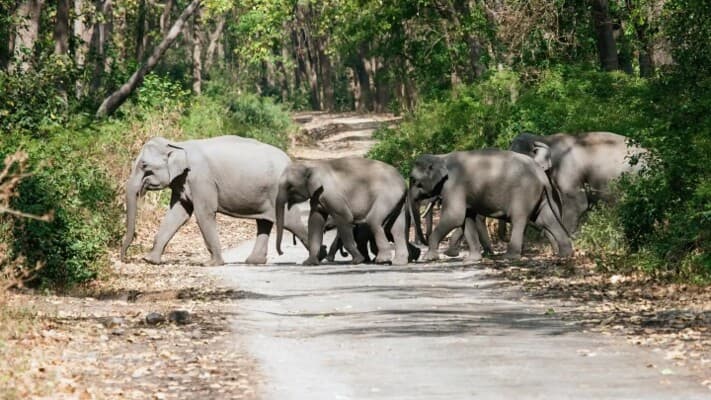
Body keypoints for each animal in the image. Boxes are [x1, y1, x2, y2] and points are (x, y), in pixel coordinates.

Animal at [120, 135, 311, 266]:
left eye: (144, 166)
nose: (124, 258)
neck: (179, 145)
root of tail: (289, 160)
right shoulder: (182, 182)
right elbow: (178, 214)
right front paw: (150, 260)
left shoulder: (201, 179)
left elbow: (204, 213)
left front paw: (212, 264)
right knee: (264, 222)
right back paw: (253, 262)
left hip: (278, 191)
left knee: (291, 222)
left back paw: (314, 259)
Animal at [275, 157, 411, 266]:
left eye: (289, 186)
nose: (281, 252)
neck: (313, 165)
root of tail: (403, 181)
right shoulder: (316, 197)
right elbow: (315, 221)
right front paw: (309, 263)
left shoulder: (331, 195)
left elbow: (345, 218)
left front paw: (357, 261)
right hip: (398, 201)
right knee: (397, 228)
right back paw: (399, 262)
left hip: (387, 195)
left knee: (374, 220)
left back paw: (382, 261)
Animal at [409, 150, 573, 261]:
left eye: (415, 181)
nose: (419, 248)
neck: (441, 157)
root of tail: (542, 175)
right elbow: (466, 219)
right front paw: (472, 259)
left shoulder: (454, 186)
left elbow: (454, 217)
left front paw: (429, 257)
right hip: (539, 196)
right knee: (546, 219)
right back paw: (565, 254)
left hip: (524, 192)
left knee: (520, 219)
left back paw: (509, 256)